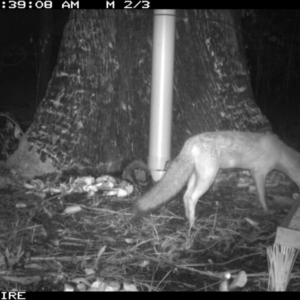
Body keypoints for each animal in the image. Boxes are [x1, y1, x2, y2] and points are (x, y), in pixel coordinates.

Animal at [132, 131, 300, 227]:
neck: (280, 152)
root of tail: (190, 141)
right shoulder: (259, 172)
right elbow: (263, 195)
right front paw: (267, 210)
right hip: (208, 177)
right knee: (192, 197)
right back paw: (192, 224)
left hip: (195, 176)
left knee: (186, 196)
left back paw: (188, 217)